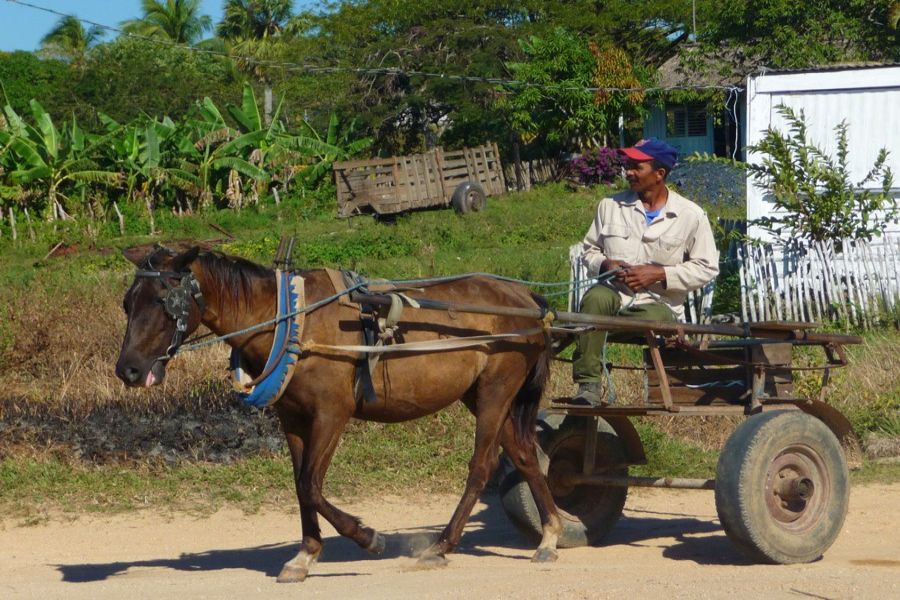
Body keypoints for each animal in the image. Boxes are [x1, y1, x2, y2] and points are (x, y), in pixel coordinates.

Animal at [115, 244, 560, 580]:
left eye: (164, 301)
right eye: (127, 303)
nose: (128, 370)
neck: (291, 321)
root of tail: (528, 301)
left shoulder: (332, 414)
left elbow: (312, 485)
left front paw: (368, 537)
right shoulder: (292, 419)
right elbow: (299, 487)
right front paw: (306, 554)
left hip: (496, 390)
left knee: (482, 466)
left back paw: (442, 545)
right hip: (484, 395)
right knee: (524, 455)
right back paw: (550, 534)